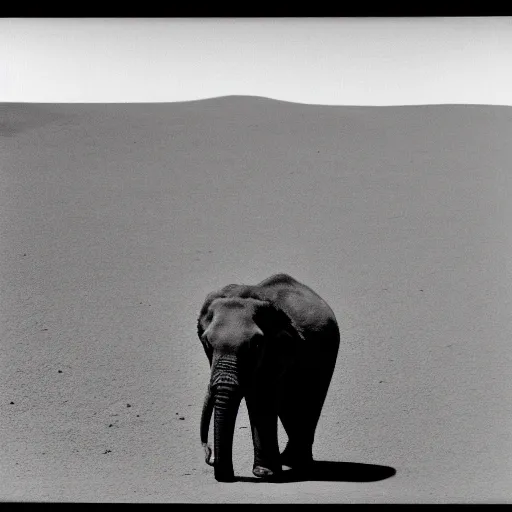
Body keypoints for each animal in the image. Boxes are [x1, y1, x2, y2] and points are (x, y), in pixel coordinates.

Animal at [197, 274, 340, 482]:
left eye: (255, 345)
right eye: (207, 343)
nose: (211, 457)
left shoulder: (276, 352)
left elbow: (262, 401)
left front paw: (265, 474)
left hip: (326, 353)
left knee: (307, 401)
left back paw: (298, 464)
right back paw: (289, 461)